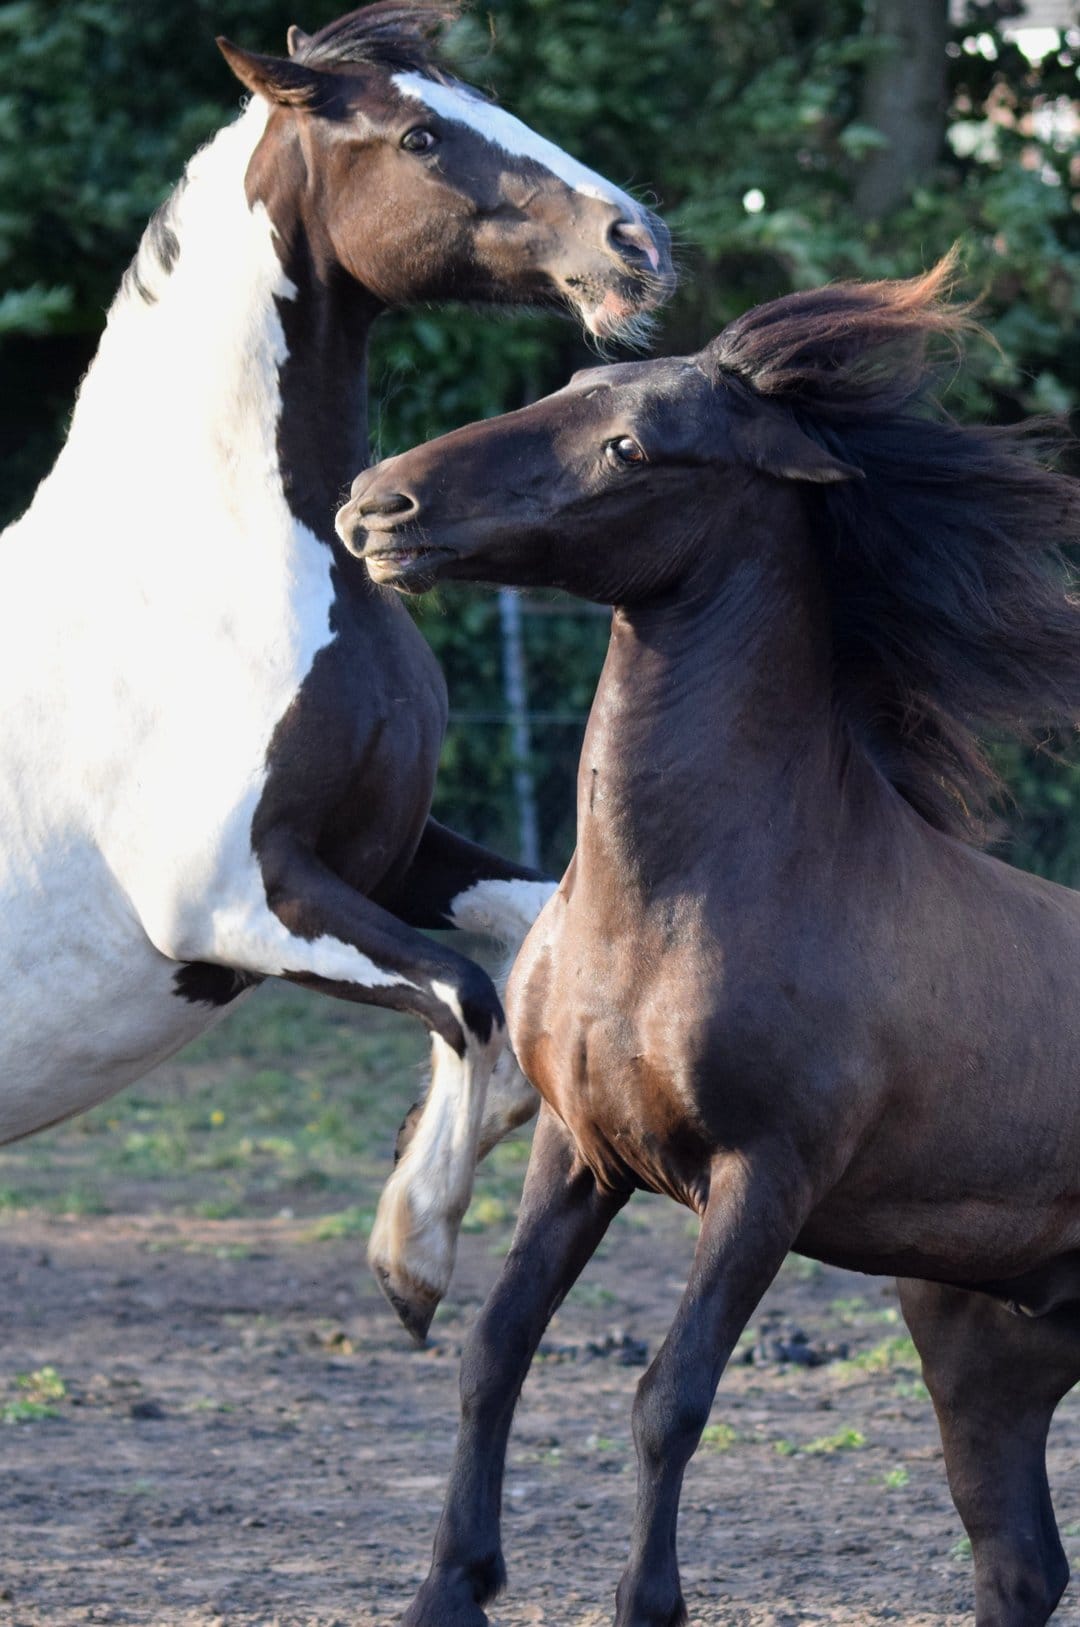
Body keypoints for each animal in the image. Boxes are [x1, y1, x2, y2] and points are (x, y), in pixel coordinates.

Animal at [0, 0, 673, 1345]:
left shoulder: (383, 848)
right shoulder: (231, 903)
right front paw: (411, 1253)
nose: (637, 243)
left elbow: (523, 950)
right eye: (419, 135)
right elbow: (467, 995)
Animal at [339, 259, 1080, 1627]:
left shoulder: (763, 1181)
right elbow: (493, 1351)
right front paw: (449, 1587)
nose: (379, 505)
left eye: (631, 446)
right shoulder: (580, 1150)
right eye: (564, 390)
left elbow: (668, 1398)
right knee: (1019, 1565)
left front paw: (647, 1602)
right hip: (983, 1344)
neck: (677, 901)